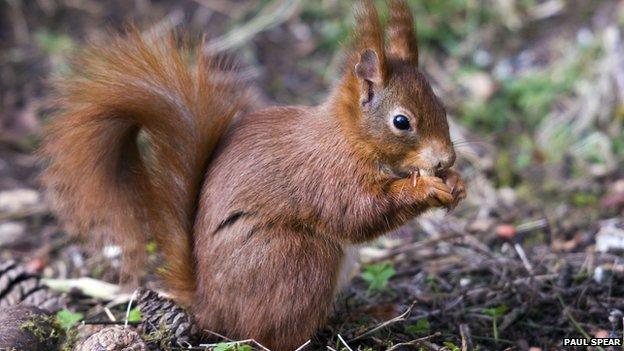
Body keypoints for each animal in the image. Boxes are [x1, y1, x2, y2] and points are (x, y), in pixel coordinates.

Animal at [41, 1, 466, 350]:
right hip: (296, 258)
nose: (446, 159)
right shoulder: (328, 176)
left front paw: (457, 183)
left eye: (442, 105)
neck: (350, 137)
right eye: (401, 122)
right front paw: (427, 188)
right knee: (274, 335)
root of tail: (208, 306)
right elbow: (360, 214)